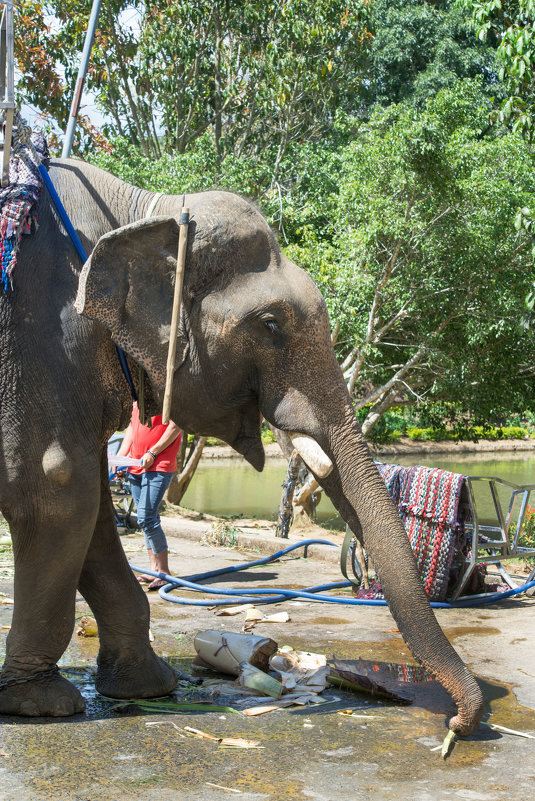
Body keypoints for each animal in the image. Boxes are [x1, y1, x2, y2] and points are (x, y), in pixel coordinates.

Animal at [0, 159, 486, 736]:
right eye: (270, 325)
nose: (457, 726)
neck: (143, 208)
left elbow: (92, 508)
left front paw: (149, 686)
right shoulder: (42, 339)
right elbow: (56, 489)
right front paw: (41, 704)